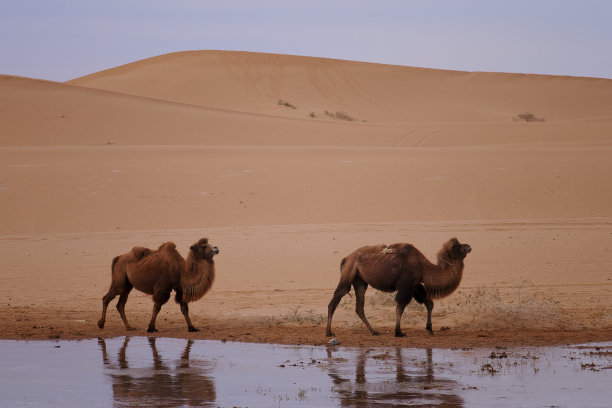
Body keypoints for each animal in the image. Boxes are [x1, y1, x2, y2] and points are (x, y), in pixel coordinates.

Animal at [326, 237, 474, 336]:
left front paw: (430, 328)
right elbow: (400, 307)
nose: (469, 247)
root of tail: (346, 258)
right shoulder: (406, 284)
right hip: (348, 274)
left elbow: (429, 303)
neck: (423, 267)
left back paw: (374, 331)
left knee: (359, 307)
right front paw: (398, 332)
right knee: (335, 300)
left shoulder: (415, 285)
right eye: (456, 246)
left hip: (360, 281)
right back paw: (329, 332)